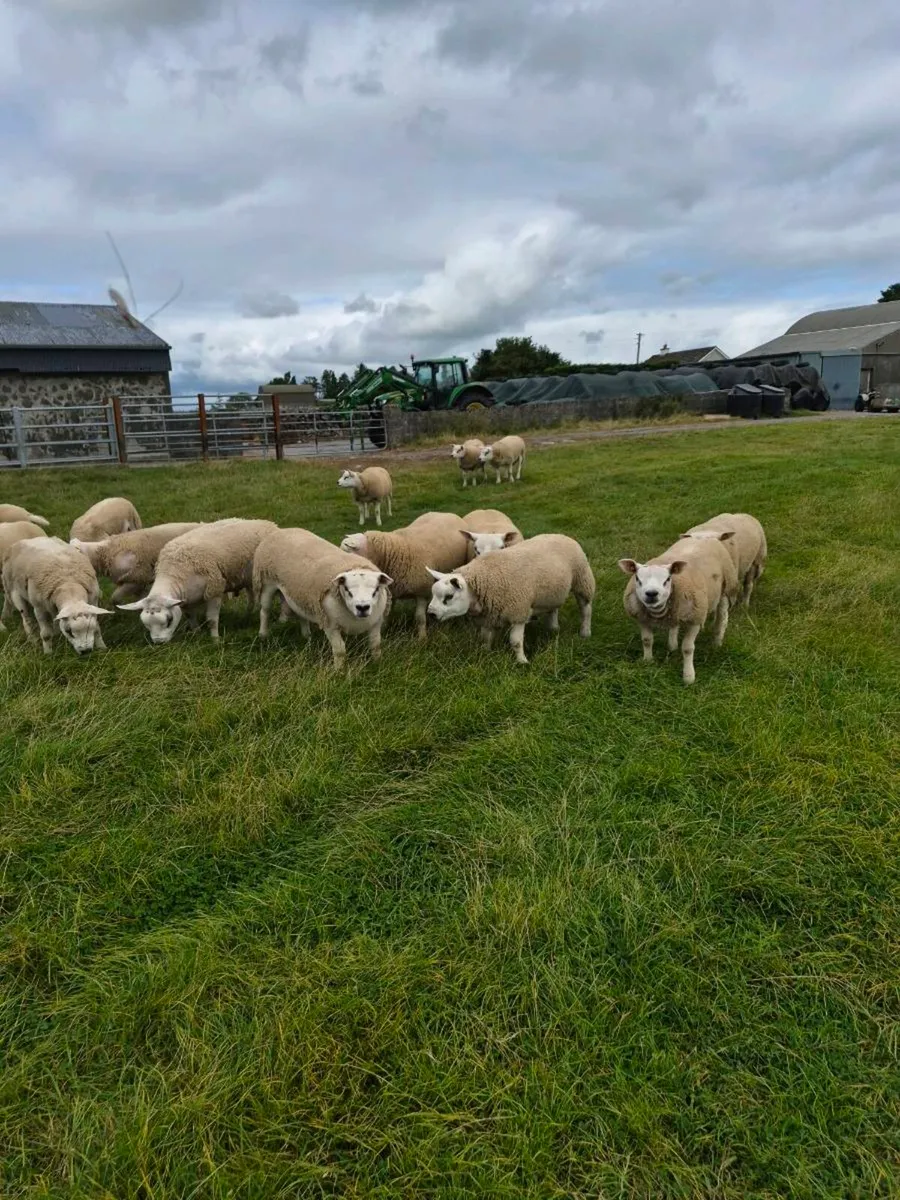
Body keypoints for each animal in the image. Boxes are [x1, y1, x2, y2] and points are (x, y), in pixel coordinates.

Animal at [118, 518, 278, 642]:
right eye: (146, 625)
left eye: (169, 620)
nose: (159, 642)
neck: (174, 570)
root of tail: (268, 523)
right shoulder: (185, 600)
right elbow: (190, 616)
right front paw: (196, 633)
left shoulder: (214, 590)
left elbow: (212, 620)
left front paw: (215, 640)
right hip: (247, 579)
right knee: (251, 597)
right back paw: (247, 615)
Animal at [254, 528, 393, 669]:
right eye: (347, 590)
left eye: (376, 590)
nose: (362, 607)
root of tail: (284, 530)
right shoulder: (330, 625)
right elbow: (340, 650)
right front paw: (339, 670)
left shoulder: (376, 622)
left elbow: (375, 645)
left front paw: (377, 663)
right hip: (267, 583)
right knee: (265, 611)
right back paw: (263, 634)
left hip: (301, 593)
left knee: (301, 614)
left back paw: (306, 635)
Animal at [340, 511, 469, 640]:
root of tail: (446, 513)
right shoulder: (391, 591)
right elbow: (386, 615)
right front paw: (384, 632)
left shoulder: (421, 592)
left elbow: (420, 618)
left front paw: (422, 638)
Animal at [427, 533, 595, 664]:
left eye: (449, 596)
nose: (431, 614)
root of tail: (561, 535)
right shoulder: (489, 616)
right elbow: (485, 638)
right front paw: (486, 653)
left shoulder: (518, 612)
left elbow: (515, 642)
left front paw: (522, 662)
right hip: (553, 590)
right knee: (553, 608)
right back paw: (553, 629)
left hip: (583, 580)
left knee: (586, 609)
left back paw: (585, 632)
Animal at [618, 533, 739, 685]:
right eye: (638, 579)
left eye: (667, 579)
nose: (651, 594)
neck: (658, 611)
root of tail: (706, 535)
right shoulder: (642, 618)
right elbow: (647, 640)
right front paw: (647, 661)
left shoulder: (695, 619)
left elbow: (688, 648)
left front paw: (688, 676)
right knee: (674, 625)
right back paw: (672, 644)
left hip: (726, 588)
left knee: (722, 617)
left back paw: (717, 642)